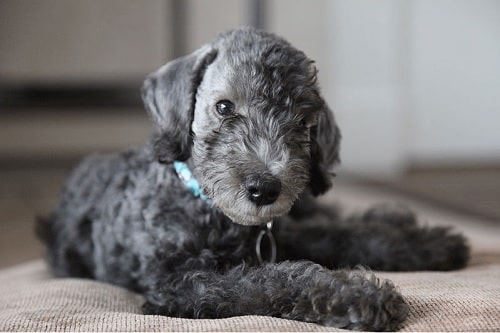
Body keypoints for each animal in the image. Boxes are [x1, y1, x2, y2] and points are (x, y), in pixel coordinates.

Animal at [37, 27, 470, 330]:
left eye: (303, 122)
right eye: (224, 107)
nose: (265, 189)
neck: (206, 206)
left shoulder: (288, 231)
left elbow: (345, 235)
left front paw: (431, 244)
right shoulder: (181, 283)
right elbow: (271, 279)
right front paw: (359, 296)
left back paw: (395, 215)